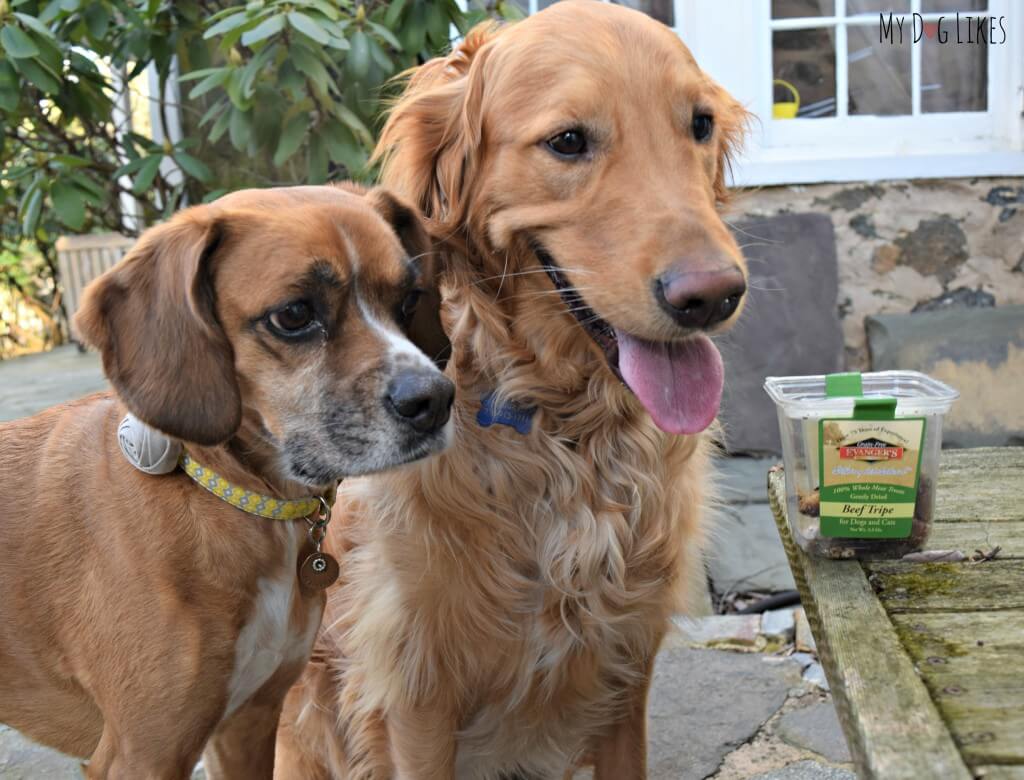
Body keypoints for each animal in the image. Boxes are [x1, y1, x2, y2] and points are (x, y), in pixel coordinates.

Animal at [0, 185, 452, 773]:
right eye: (294, 314)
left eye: (410, 300)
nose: (437, 401)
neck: (222, 496)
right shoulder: (141, 756)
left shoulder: (250, 721)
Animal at [276, 3, 749, 773]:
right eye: (568, 141)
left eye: (700, 124)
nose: (713, 297)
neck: (566, 429)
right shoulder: (415, 695)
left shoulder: (626, 670)